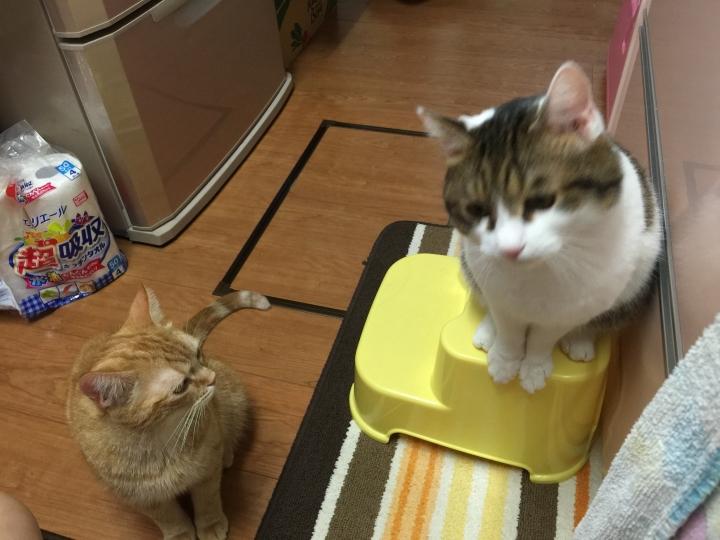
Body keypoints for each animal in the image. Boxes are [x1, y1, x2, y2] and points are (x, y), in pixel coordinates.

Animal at [66, 285, 270, 539]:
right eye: (181, 387)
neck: (158, 438)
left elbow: (208, 499)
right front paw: (180, 533)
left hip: (232, 398)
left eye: (198, 354)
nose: (212, 378)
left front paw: (210, 524)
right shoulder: (141, 497)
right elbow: (168, 517)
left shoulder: (207, 470)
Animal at [418, 61, 661, 393]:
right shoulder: (498, 290)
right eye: (477, 210)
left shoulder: (571, 307)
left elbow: (544, 338)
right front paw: (505, 360)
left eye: (543, 200)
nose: (510, 249)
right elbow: (508, 326)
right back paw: (488, 332)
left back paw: (580, 341)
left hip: (633, 283)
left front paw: (533, 369)